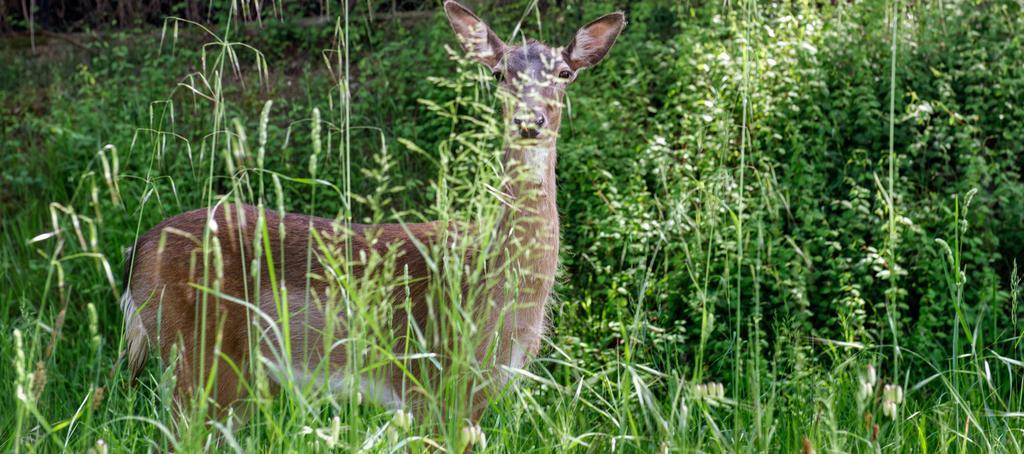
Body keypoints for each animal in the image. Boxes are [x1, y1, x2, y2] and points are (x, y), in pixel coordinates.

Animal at [119, 0, 622, 424]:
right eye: (499, 73)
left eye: (564, 72)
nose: (529, 121)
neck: (493, 288)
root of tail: (137, 252)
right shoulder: (430, 383)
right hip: (196, 354)